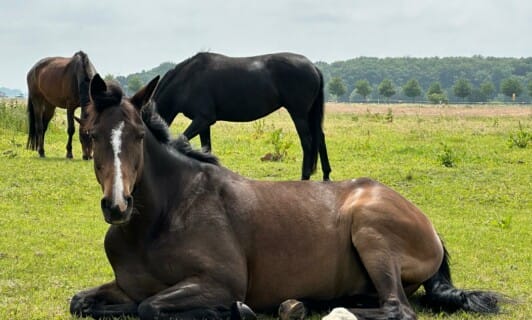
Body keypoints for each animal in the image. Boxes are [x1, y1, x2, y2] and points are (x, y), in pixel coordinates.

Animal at [71, 73, 502, 320]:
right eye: (91, 134)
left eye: (139, 136)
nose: (117, 205)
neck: (161, 219)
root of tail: (430, 226)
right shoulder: (126, 284)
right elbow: (83, 302)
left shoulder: (220, 282)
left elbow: (150, 307)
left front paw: (230, 312)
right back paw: (302, 304)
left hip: (371, 234)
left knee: (397, 309)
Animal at [152, 51, 330, 179]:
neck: (187, 80)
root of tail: (314, 68)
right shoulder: (203, 124)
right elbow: (206, 148)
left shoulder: (203, 119)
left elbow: (181, 140)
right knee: (320, 138)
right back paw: (326, 175)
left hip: (299, 114)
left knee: (307, 142)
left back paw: (305, 177)